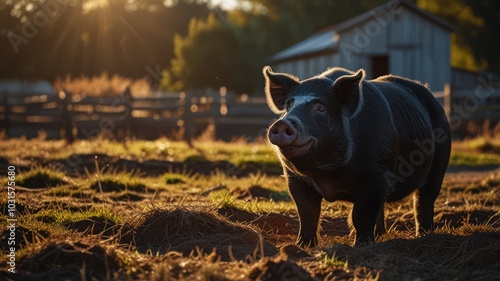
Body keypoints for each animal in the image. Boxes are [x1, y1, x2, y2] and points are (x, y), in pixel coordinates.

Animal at [264, 65, 452, 245]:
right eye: (289, 106)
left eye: (321, 108)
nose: (283, 123)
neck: (328, 173)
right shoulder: (294, 178)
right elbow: (307, 213)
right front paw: (303, 245)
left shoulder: (377, 172)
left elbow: (361, 215)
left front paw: (361, 245)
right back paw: (380, 235)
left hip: (439, 164)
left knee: (424, 200)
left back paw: (424, 235)